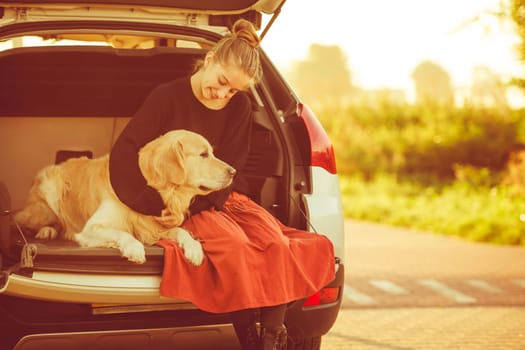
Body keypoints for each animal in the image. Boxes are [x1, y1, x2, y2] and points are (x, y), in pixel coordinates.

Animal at [14, 130, 235, 264]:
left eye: (211, 153)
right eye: (203, 154)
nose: (233, 171)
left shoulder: (154, 227)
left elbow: (181, 232)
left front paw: (194, 247)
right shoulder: (90, 229)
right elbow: (122, 233)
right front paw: (134, 248)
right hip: (50, 192)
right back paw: (46, 231)